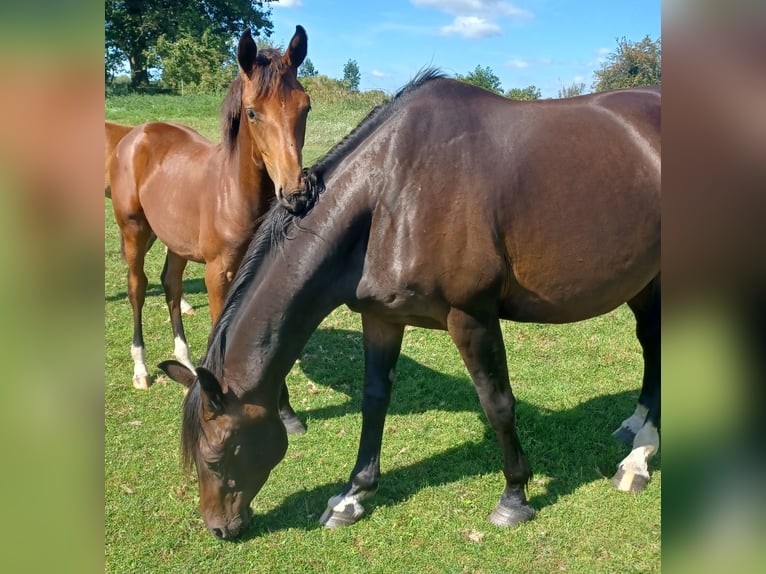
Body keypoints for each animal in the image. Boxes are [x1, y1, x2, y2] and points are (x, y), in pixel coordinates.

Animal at [108, 24, 312, 418]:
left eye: (305, 106)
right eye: (252, 113)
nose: (297, 194)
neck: (234, 195)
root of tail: (135, 134)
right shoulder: (218, 274)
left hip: (174, 240)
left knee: (171, 286)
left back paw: (185, 363)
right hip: (134, 230)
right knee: (137, 287)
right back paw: (141, 369)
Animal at [160, 71, 660, 540]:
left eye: (217, 454)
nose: (220, 528)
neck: (394, 191)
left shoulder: (471, 317)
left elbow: (497, 403)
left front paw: (514, 496)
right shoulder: (381, 317)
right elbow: (374, 399)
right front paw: (352, 495)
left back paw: (637, 460)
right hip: (644, 282)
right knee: (651, 347)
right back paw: (637, 431)